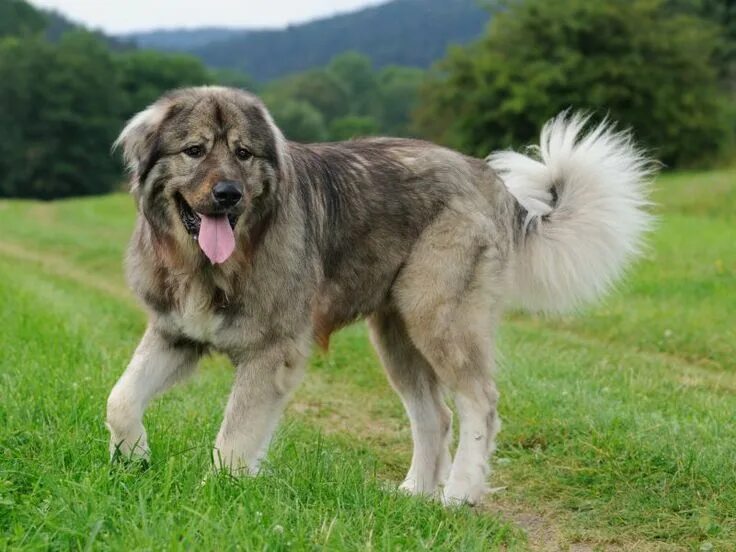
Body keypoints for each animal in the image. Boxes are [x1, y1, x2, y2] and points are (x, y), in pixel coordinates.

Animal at [106, 85, 652, 504]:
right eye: (195, 150)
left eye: (243, 153)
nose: (228, 195)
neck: (210, 266)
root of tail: (488, 179)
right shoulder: (175, 335)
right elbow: (121, 399)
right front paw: (133, 457)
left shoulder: (270, 354)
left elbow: (234, 437)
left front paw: (216, 492)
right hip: (396, 335)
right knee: (435, 416)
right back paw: (414, 494)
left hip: (439, 319)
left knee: (479, 401)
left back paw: (460, 493)